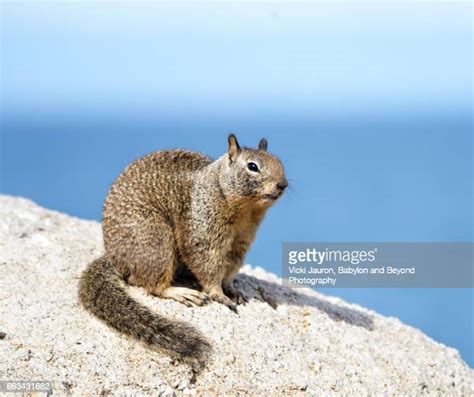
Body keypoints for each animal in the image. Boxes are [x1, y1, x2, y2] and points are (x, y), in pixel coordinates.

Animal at [78, 135, 286, 364]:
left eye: (279, 161)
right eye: (252, 166)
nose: (283, 184)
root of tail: (114, 258)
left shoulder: (241, 242)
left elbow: (231, 270)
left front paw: (233, 290)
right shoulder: (202, 230)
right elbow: (206, 263)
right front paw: (219, 295)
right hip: (157, 242)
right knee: (151, 286)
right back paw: (182, 293)